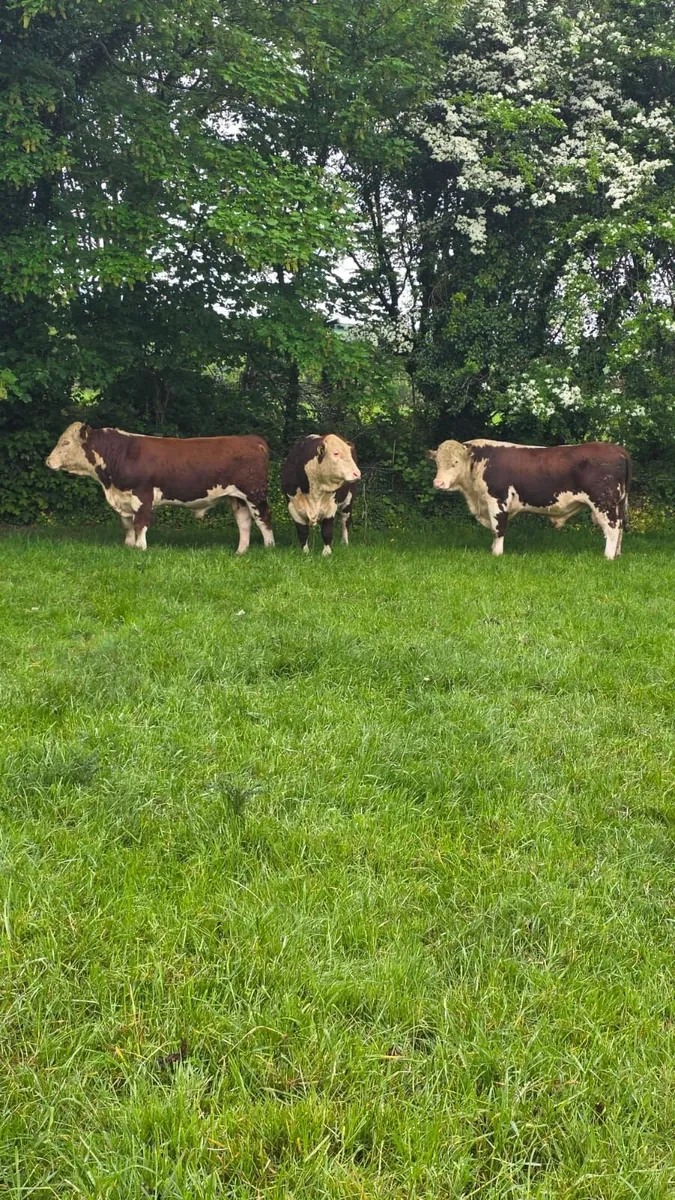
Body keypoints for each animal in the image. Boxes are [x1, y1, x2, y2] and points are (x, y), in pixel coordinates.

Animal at [45, 422, 275, 553]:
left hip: (254, 493)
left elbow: (140, 523)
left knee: (263, 518)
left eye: (65, 442)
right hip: (237, 497)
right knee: (244, 522)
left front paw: (141, 548)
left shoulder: (142, 496)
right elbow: (128, 525)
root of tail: (251, 439)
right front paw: (129, 546)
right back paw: (240, 552)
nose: (47, 461)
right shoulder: (124, 499)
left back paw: (269, 548)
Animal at [427, 438, 631, 559]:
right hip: (618, 504)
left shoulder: (497, 500)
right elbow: (493, 529)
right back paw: (617, 554)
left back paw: (608, 556)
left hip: (604, 503)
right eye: (437, 462)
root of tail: (618, 450)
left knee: (612, 529)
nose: (438, 483)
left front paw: (497, 554)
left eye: (455, 462)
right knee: (620, 528)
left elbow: (498, 528)